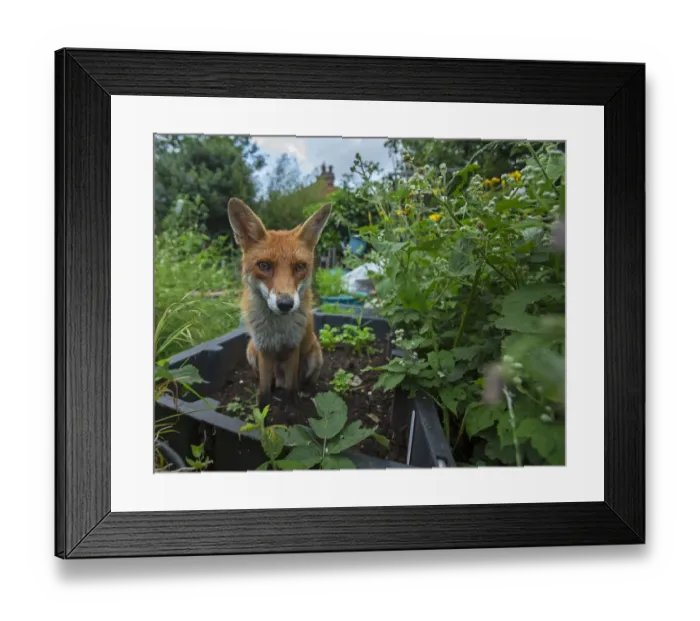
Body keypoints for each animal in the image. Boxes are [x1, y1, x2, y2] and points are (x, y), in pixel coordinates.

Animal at [227, 197, 332, 407]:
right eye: (264, 265)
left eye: (299, 267)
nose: (285, 304)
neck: (277, 329)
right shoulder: (264, 349)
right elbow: (264, 391)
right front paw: (263, 411)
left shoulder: (293, 347)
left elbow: (291, 389)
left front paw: (291, 408)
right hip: (250, 350)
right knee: (268, 380)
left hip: (315, 355)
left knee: (304, 382)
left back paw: (308, 392)